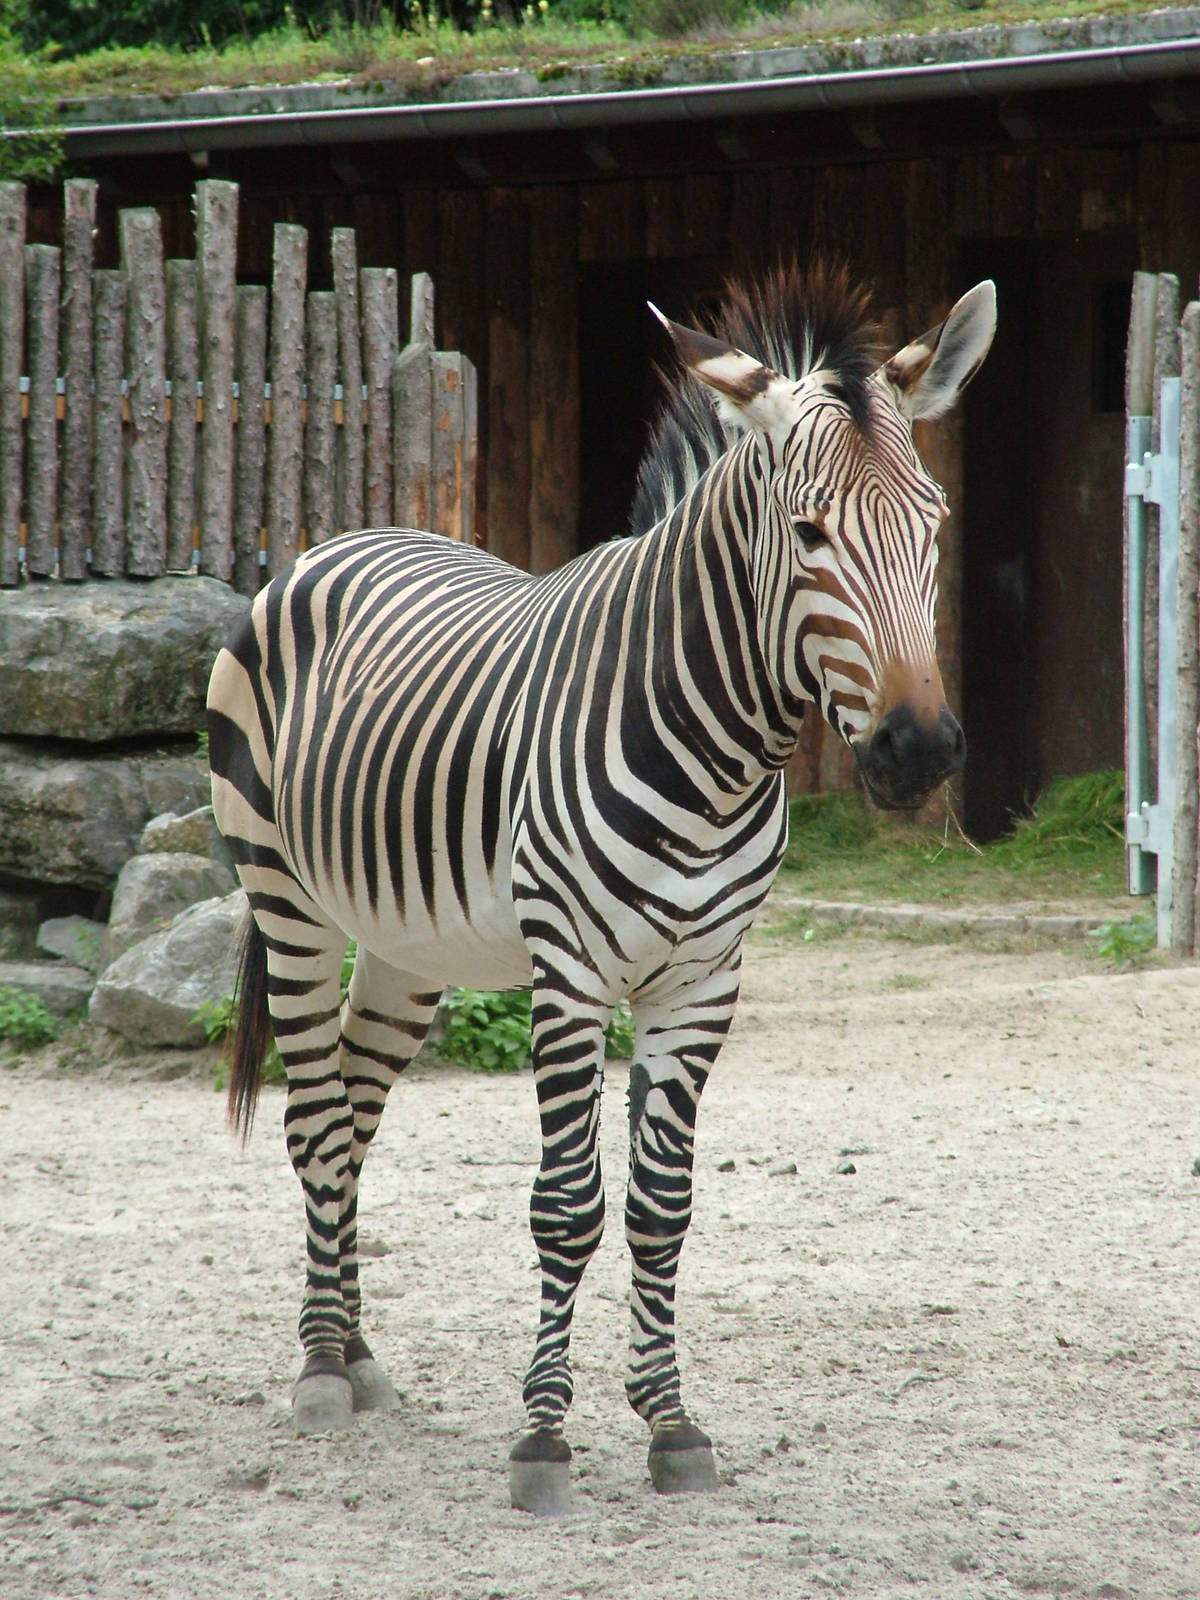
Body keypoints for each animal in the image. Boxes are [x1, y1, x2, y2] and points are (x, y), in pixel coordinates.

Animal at [207, 262, 995, 1515]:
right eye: (811, 532)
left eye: (934, 525)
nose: (919, 752)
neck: (716, 752)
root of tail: (345, 537)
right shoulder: (570, 972)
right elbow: (569, 1203)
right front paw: (543, 1436)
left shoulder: (704, 979)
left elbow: (662, 1207)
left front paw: (670, 1422)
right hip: (288, 900)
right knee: (317, 1122)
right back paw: (324, 1366)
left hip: (409, 946)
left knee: (359, 1116)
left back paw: (363, 1352)